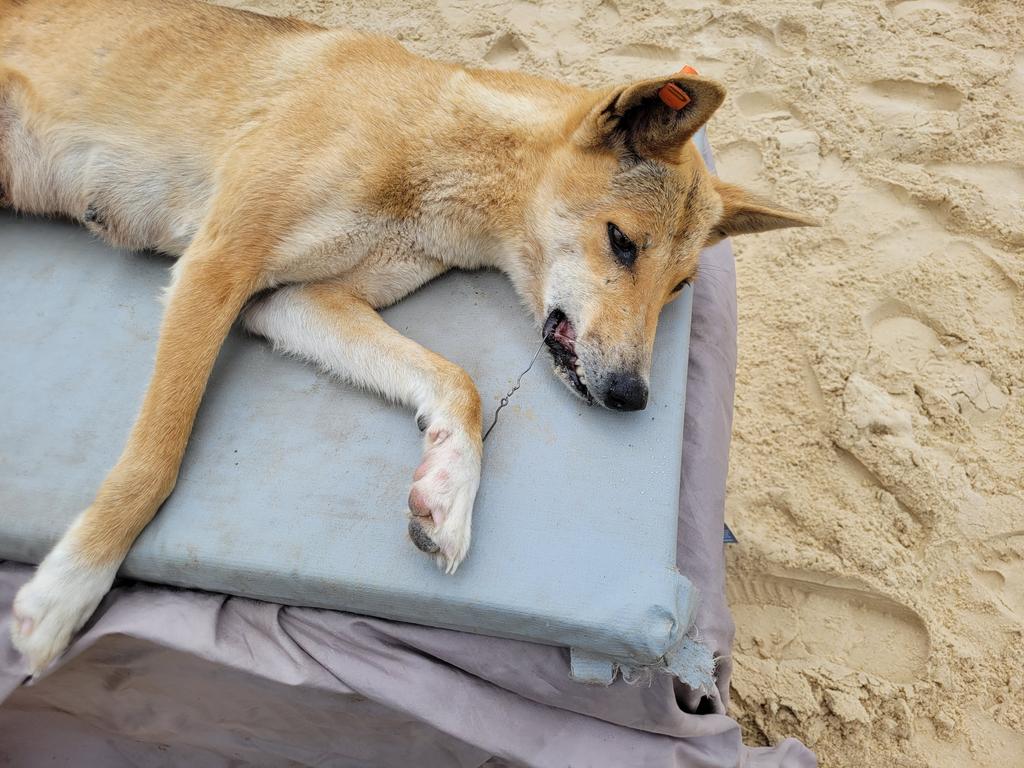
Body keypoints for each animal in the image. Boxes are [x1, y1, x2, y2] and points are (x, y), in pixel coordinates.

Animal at [0, 0, 806, 671]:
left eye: (679, 290)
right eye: (622, 242)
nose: (633, 397)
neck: (437, 146)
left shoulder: (290, 301)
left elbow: (458, 381)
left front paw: (449, 485)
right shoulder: (218, 266)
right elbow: (154, 462)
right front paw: (69, 586)